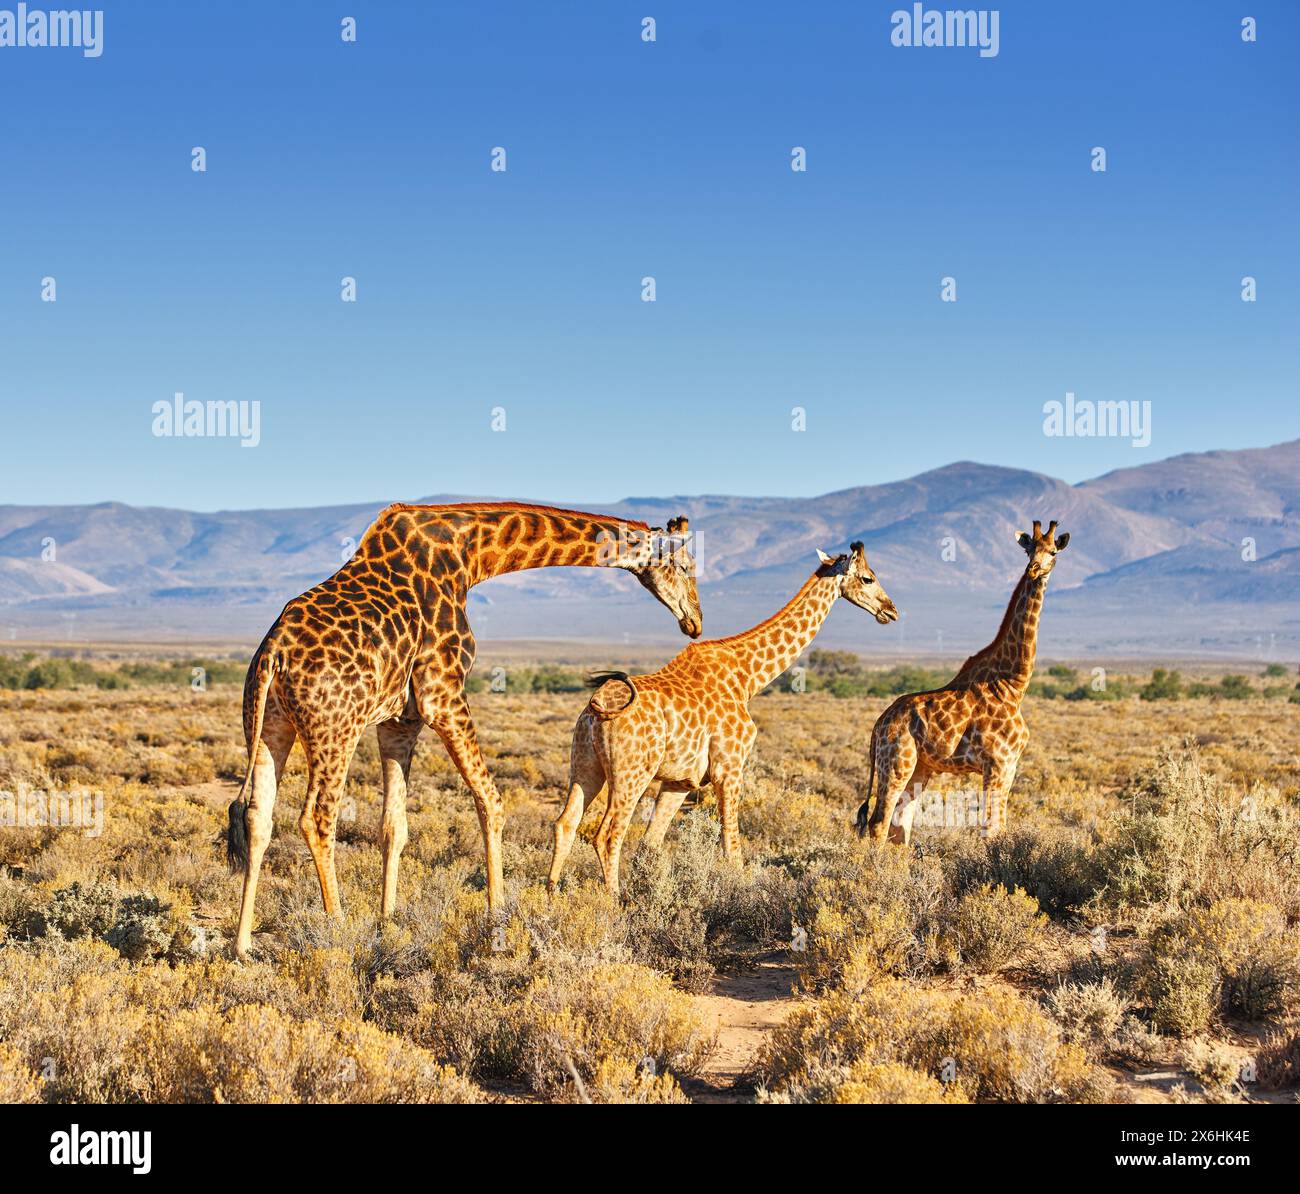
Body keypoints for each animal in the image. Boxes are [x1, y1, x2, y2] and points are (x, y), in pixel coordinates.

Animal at [227, 503, 700, 960]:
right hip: (335, 728)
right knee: (317, 818)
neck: (470, 558)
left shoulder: (400, 719)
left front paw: (388, 923)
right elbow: (491, 802)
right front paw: (499, 920)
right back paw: (338, 931)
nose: (694, 622)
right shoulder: (443, 692)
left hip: (268, 724)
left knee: (257, 815)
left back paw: (243, 944)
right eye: (684, 564)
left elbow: (393, 825)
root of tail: (273, 653)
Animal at [548, 542, 898, 897]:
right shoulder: (728, 768)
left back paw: (550, 894)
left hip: (585, 763)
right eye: (868, 578)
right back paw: (613, 900)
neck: (748, 677)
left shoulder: (681, 780)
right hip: (632, 772)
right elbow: (732, 847)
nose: (891, 611)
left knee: (565, 823)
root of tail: (595, 710)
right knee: (607, 835)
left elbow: (651, 844)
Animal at [855, 520, 1070, 846]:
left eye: (1053, 551)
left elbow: (998, 827)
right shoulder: (997, 763)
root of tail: (878, 725)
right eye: (1029, 549)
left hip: (920, 768)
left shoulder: (1010, 765)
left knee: (899, 827)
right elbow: (991, 830)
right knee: (878, 823)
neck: (1013, 683)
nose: (1033, 569)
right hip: (896, 762)